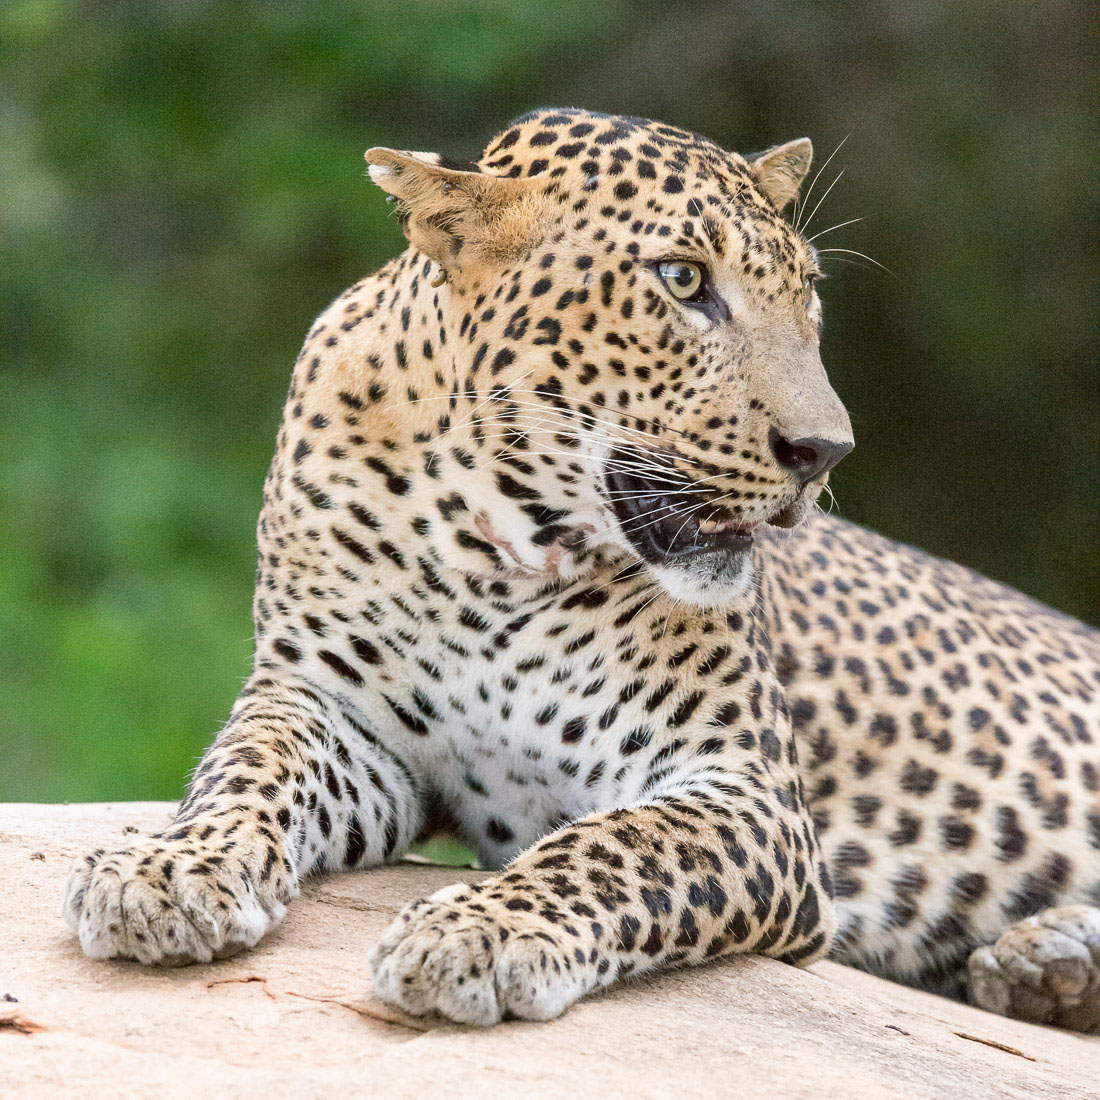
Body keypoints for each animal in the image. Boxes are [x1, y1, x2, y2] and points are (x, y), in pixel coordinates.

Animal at [62, 109, 1100, 1029]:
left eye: (808, 293)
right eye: (683, 280)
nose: (825, 452)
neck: (492, 550)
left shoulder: (744, 789)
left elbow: (617, 846)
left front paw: (478, 933)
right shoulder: (336, 711)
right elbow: (247, 767)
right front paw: (168, 868)